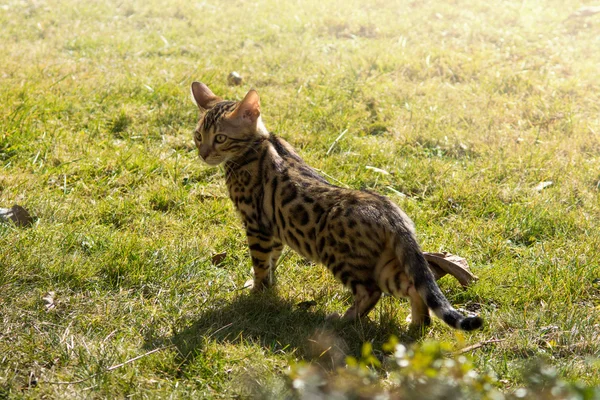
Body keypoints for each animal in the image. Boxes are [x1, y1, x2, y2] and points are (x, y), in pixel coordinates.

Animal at [192, 81, 482, 332]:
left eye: (220, 138)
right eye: (198, 136)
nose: (203, 154)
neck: (259, 142)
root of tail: (391, 212)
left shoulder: (257, 225)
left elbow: (261, 264)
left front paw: (257, 293)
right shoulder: (274, 230)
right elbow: (273, 260)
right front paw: (269, 288)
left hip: (339, 256)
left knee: (371, 291)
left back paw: (343, 320)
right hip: (384, 264)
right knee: (413, 285)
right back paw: (417, 324)